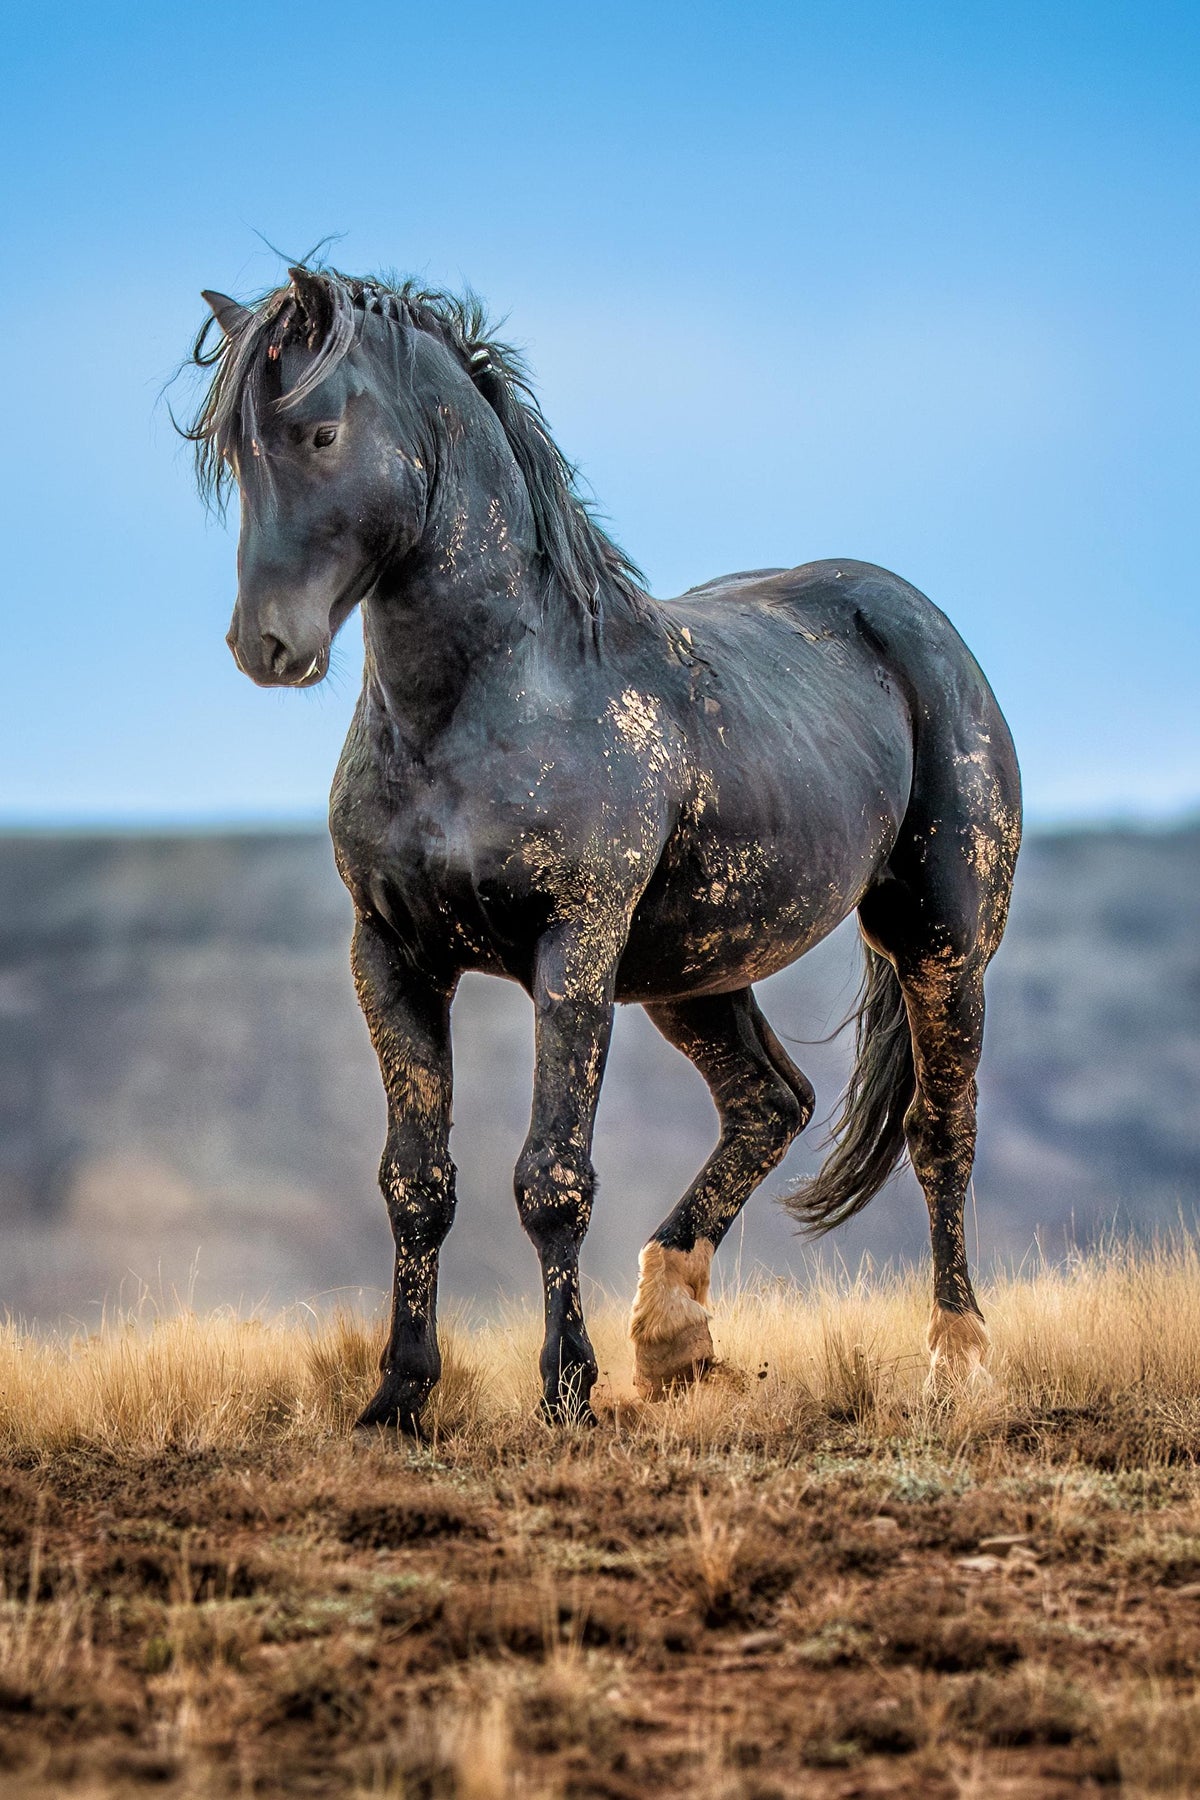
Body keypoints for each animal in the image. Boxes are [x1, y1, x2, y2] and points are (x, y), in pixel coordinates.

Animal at [187, 265, 1021, 1432]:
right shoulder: (391, 959)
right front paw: (398, 1396)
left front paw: (567, 1393)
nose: (266, 644)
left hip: (940, 943)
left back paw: (957, 1359)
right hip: (693, 973)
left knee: (942, 1134)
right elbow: (416, 1183)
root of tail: (917, 622)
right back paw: (672, 1341)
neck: (488, 699)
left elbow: (553, 1178)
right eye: (233, 453)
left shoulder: (572, 950)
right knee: (771, 1103)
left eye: (317, 432)